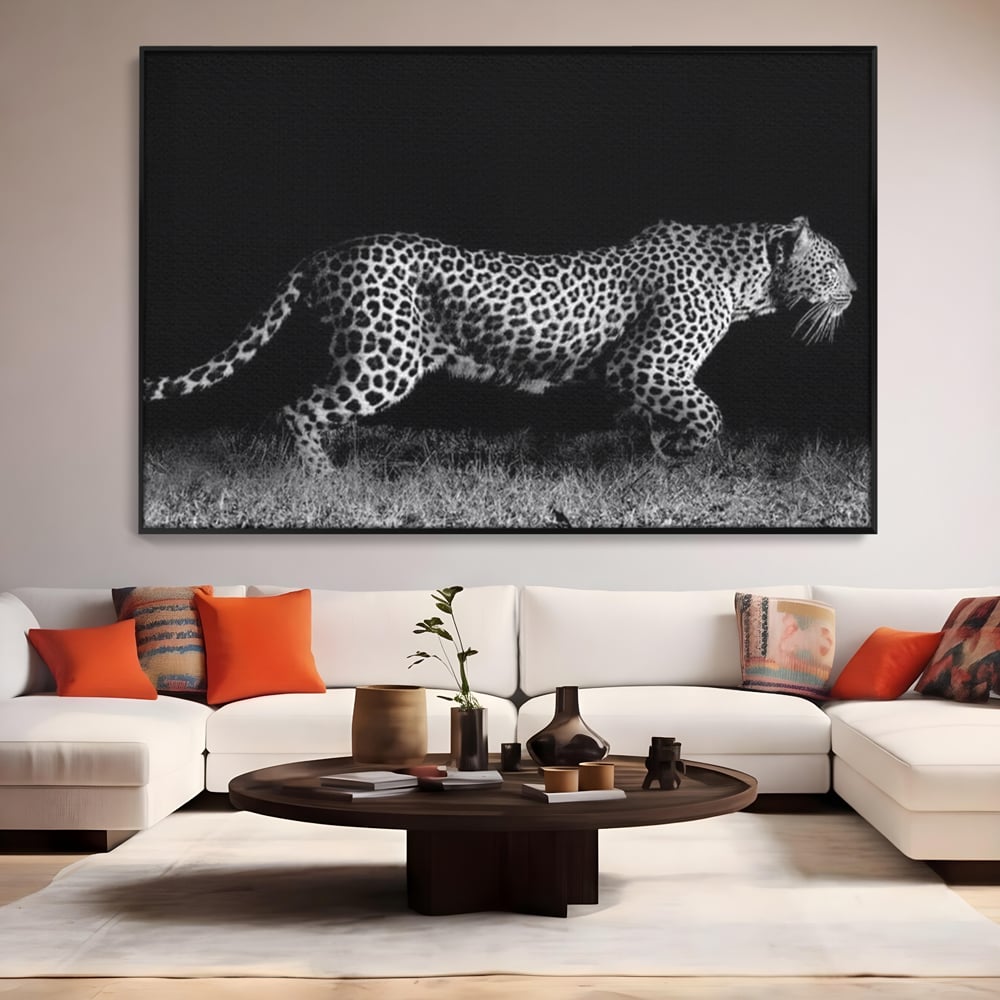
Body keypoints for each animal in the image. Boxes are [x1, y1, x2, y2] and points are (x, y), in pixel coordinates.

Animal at [144, 215, 856, 474]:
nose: (855, 291)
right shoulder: (645, 363)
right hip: (385, 359)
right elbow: (709, 412)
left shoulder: (654, 376)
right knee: (299, 408)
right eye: (835, 264)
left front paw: (660, 462)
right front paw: (684, 454)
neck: (749, 283)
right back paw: (325, 484)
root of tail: (328, 251)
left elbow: (667, 418)